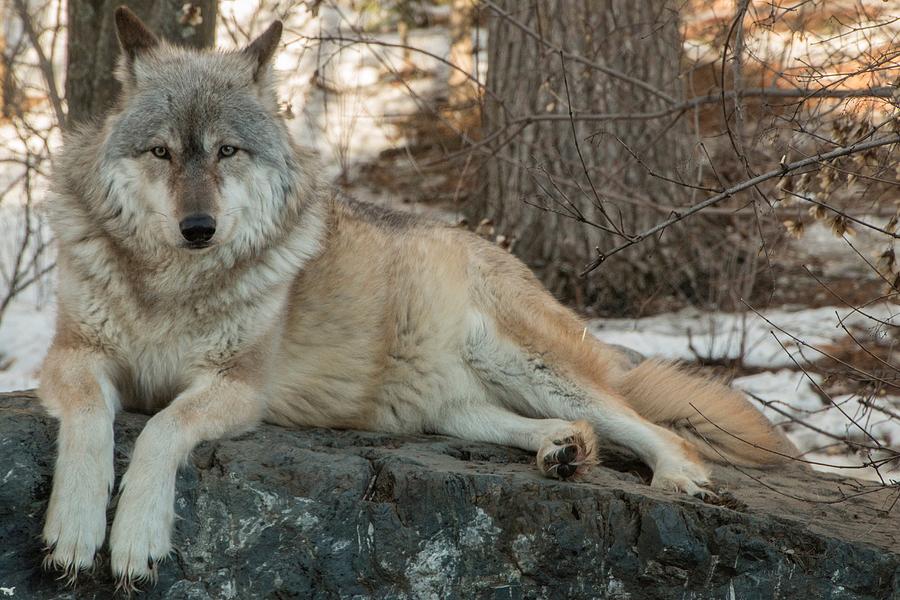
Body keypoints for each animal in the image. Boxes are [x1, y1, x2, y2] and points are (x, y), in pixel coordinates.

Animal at [38, 7, 796, 592]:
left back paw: (675, 477)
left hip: (520, 361)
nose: (199, 228)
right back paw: (561, 452)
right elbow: (90, 422)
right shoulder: (70, 357)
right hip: (443, 408)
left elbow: (161, 430)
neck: (171, 285)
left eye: (227, 152)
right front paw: (73, 531)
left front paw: (134, 539)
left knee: (650, 427)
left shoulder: (237, 386)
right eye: (162, 153)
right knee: (557, 428)